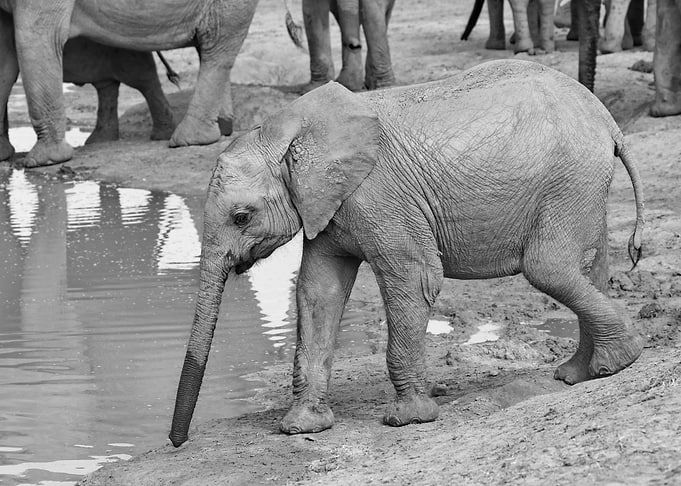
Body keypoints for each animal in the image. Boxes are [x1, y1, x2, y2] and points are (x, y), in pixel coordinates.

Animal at [168, 59, 646, 446]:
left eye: (241, 217)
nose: (178, 442)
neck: (288, 128)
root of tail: (606, 117)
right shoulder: (328, 204)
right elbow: (318, 292)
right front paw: (300, 428)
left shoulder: (379, 198)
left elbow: (412, 279)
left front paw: (409, 420)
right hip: (580, 183)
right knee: (588, 267)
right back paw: (583, 373)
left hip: (570, 178)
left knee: (548, 267)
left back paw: (619, 360)